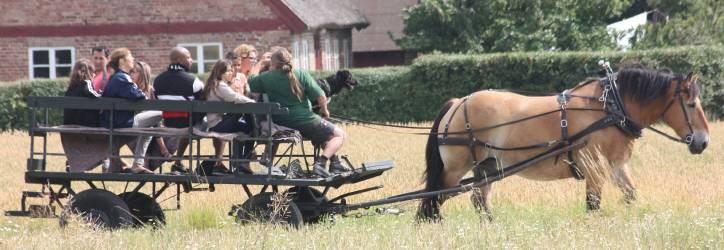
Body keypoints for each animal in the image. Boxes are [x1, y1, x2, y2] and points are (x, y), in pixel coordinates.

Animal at [416, 66, 708, 221]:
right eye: (692, 104)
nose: (704, 142)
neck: (610, 108)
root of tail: (459, 102)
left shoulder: (616, 166)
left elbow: (630, 194)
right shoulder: (594, 168)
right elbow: (593, 205)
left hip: (488, 166)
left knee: (477, 199)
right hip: (456, 168)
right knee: (433, 199)